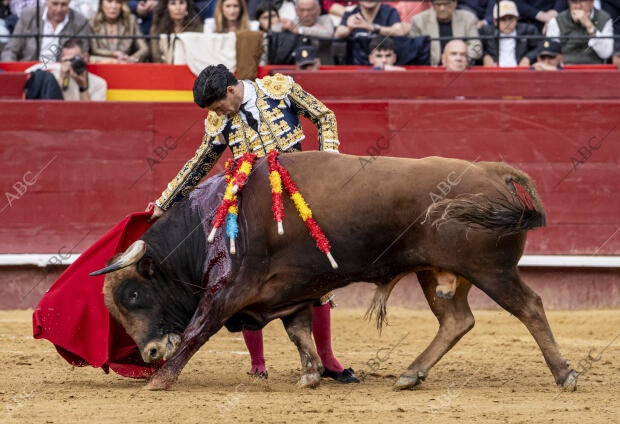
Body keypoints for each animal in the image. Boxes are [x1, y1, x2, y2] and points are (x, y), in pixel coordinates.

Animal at [91, 152, 576, 390]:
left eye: (133, 294)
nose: (150, 353)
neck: (216, 220)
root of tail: (498, 173)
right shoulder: (288, 288)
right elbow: (299, 330)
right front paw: (311, 375)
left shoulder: (233, 288)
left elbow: (198, 328)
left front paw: (160, 381)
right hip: (437, 273)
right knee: (458, 320)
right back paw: (410, 375)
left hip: (490, 269)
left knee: (530, 307)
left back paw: (564, 374)